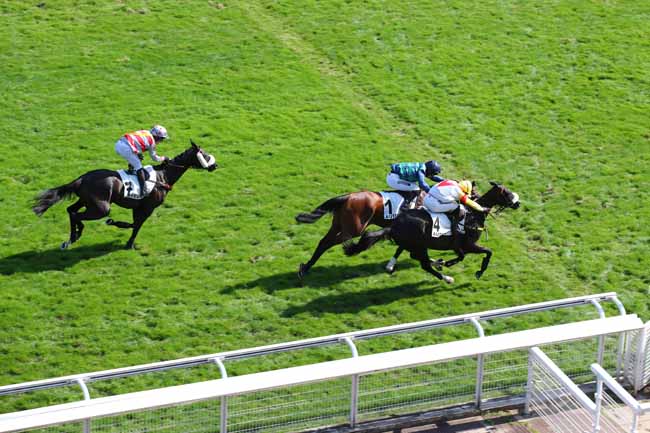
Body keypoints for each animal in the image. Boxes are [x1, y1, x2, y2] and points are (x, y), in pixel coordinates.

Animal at [32, 140, 218, 248]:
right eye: (204, 154)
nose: (215, 165)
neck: (163, 176)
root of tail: (82, 178)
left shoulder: (138, 207)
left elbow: (134, 224)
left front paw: (118, 225)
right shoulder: (147, 208)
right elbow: (136, 225)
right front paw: (128, 241)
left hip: (86, 201)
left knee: (71, 211)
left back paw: (72, 237)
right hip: (101, 207)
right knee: (77, 215)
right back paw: (76, 234)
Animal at [294, 191, 426, 278]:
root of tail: (348, 197)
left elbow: (401, 247)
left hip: (337, 225)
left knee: (323, 242)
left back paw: (305, 268)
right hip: (354, 230)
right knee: (329, 242)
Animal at [342, 182, 520, 284]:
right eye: (507, 193)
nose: (518, 203)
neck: (473, 215)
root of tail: (394, 226)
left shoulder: (459, 246)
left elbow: (463, 256)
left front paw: (446, 262)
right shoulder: (469, 245)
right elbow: (488, 252)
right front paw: (478, 271)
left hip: (416, 245)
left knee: (417, 257)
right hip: (420, 245)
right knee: (425, 264)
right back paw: (446, 278)